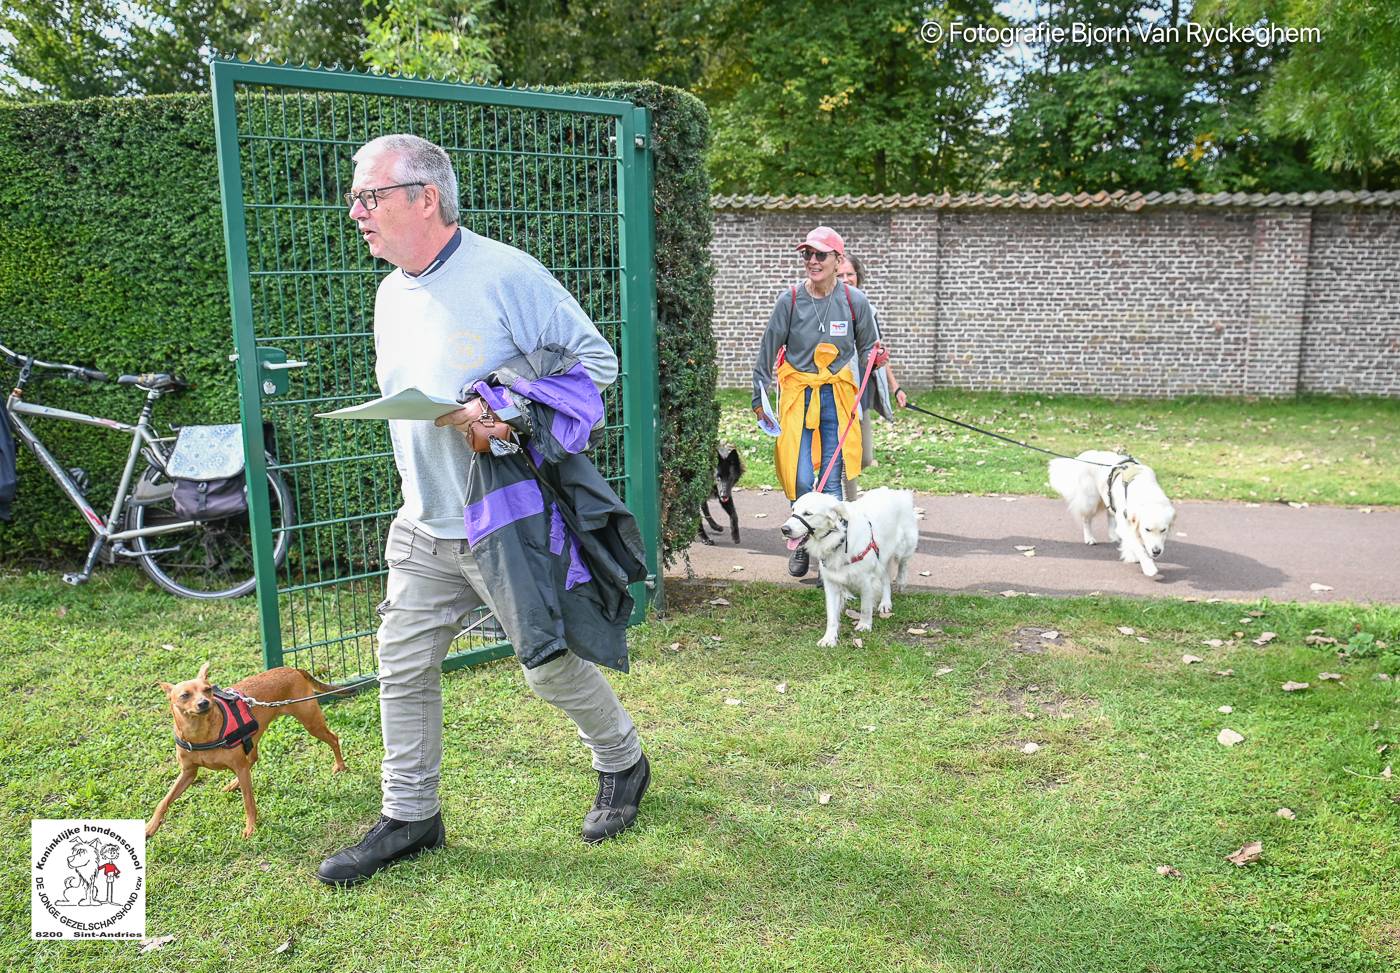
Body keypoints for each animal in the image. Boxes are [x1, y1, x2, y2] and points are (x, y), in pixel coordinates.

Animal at [149, 663, 348, 840]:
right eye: (185, 695)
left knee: (334, 738)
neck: (200, 734)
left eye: (207, 690)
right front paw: (150, 826)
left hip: (311, 722)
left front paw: (251, 827)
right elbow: (164, 801)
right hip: (255, 735)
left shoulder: (240, 767)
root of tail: (293, 669)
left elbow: (248, 802)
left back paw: (340, 765)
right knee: (253, 757)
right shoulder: (188, 773)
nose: (204, 703)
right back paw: (233, 784)